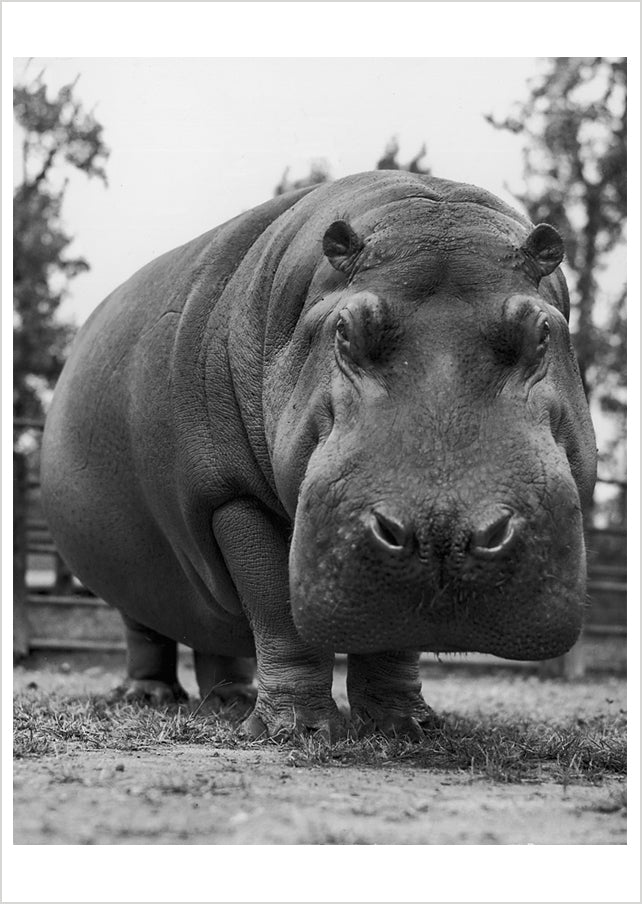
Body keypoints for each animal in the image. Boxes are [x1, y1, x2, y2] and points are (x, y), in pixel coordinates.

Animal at [41, 171, 596, 740]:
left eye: (543, 331)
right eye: (345, 329)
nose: (445, 535)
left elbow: (392, 640)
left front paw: (403, 726)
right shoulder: (232, 499)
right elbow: (277, 609)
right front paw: (299, 730)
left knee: (218, 634)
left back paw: (230, 702)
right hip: (134, 565)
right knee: (147, 628)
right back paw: (150, 697)